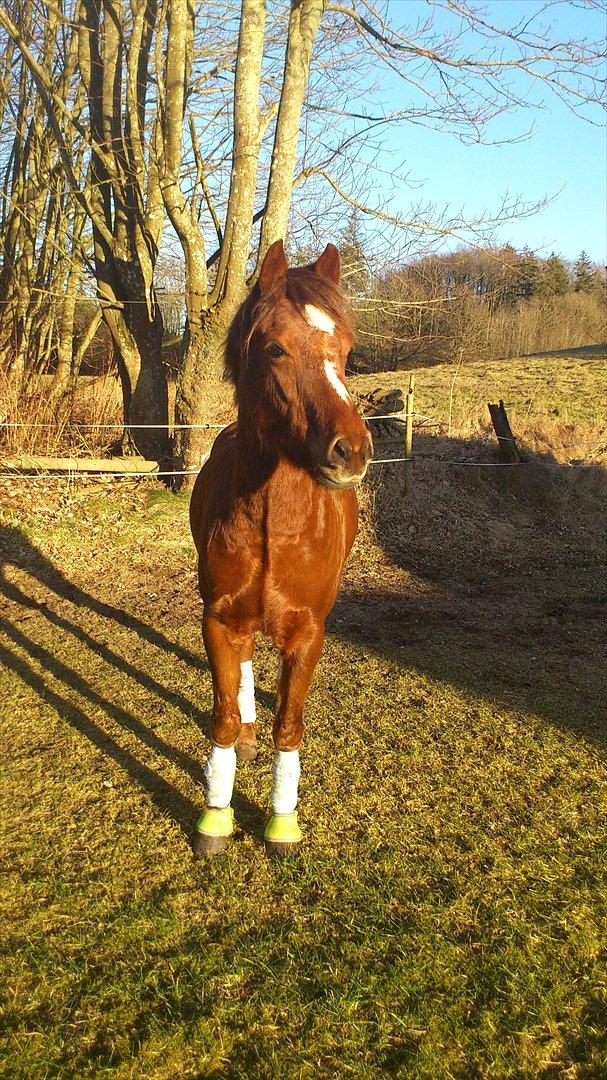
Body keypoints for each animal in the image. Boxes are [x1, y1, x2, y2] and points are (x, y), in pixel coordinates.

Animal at [189, 240, 371, 855]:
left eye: (346, 350)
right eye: (275, 348)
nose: (352, 451)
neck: (275, 523)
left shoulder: (309, 632)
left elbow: (289, 726)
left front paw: (281, 822)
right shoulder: (219, 618)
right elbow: (222, 715)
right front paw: (215, 815)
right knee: (243, 668)